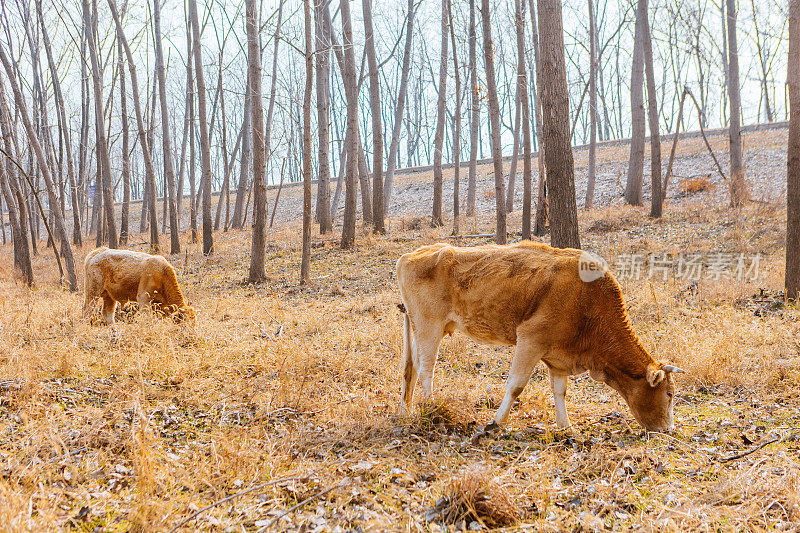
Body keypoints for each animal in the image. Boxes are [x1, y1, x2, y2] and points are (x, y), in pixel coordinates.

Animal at [396, 241, 684, 432]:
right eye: (669, 394)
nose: (668, 430)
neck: (588, 300)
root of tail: (412, 254)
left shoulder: (558, 356)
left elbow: (560, 391)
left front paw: (566, 427)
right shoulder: (530, 339)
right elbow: (516, 385)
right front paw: (495, 423)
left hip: (419, 327)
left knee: (410, 367)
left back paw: (405, 410)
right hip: (430, 327)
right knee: (426, 368)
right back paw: (432, 407)